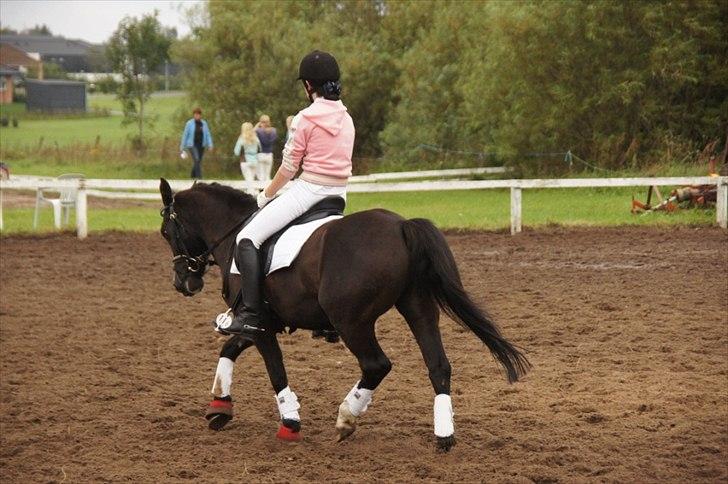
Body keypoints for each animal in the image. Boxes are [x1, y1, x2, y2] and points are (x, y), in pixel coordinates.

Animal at [158, 177, 528, 450]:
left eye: (165, 232)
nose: (183, 282)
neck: (235, 236)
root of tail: (401, 226)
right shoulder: (264, 324)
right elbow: (229, 348)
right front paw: (219, 407)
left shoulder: (259, 325)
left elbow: (275, 371)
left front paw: (290, 423)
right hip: (418, 309)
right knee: (438, 365)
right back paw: (444, 436)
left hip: (353, 322)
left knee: (377, 365)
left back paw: (346, 418)